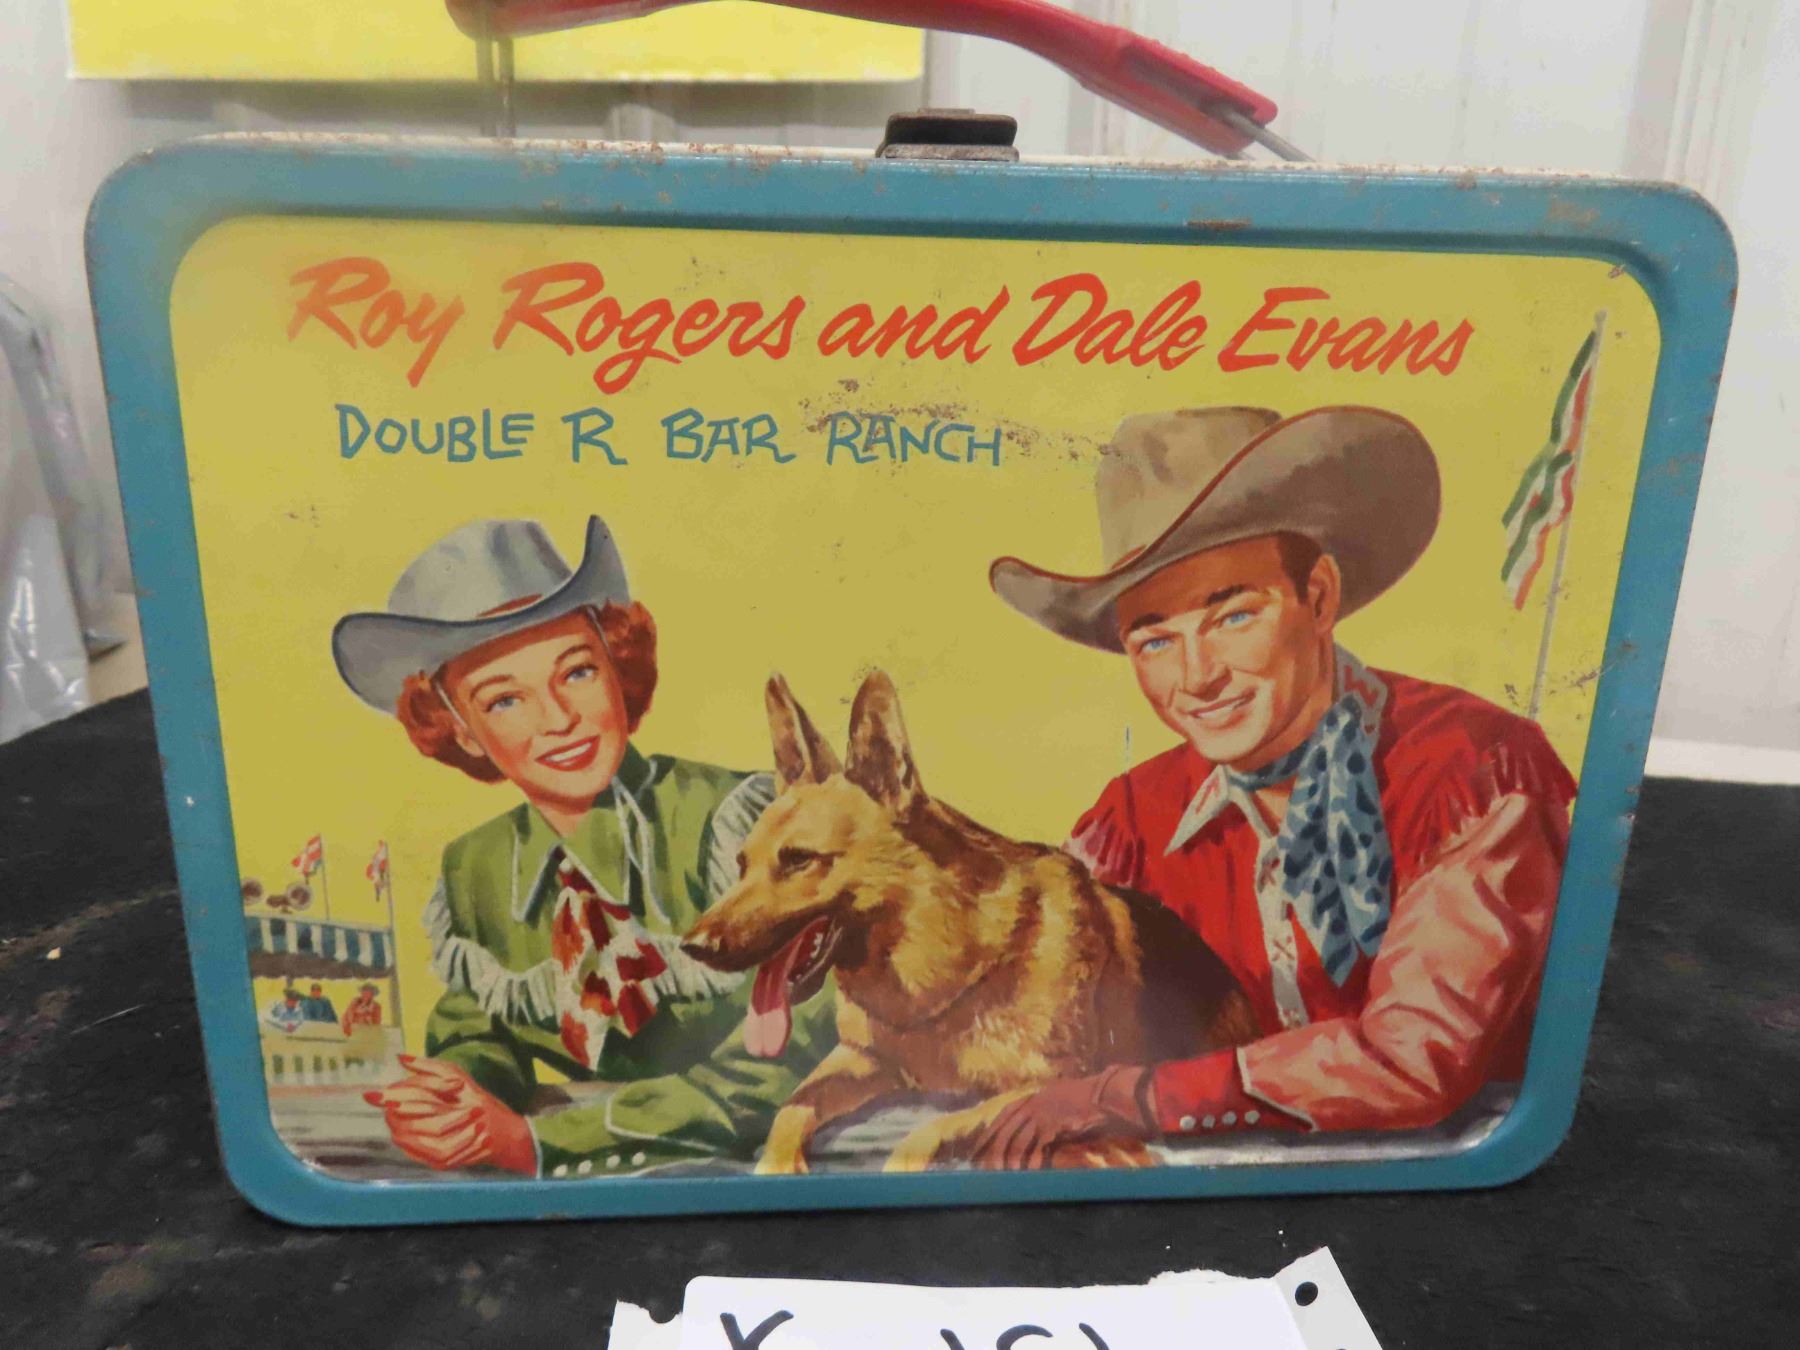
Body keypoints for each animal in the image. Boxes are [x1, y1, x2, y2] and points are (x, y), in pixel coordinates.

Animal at [681, 671, 1256, 1173]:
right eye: (741, 864)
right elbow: (791, 1109)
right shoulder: (859, 1059)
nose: (693, 947)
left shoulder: (1050, 1084)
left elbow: (924, 1135)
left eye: (799, 859)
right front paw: (778, 1166)